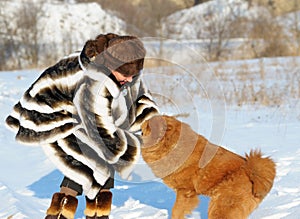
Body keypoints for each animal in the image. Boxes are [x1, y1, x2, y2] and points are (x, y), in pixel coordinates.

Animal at [141, 115, 276, 218]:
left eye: (147, 125)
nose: (141, 124)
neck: (171, 146)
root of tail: (250, 170)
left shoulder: (185, 191)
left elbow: (176, 211)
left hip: (221, 205)